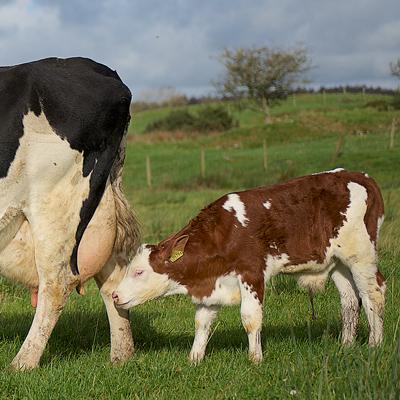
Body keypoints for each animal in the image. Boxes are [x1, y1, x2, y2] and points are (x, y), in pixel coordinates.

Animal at [0, 57, 141, 370]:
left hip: (54, 201)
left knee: (55, 284)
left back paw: (22, 363)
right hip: (99, 204)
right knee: (112, 278)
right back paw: (121, 356)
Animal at [112, 170, 384, 364]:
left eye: (139, 272)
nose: (115, 295)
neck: (225, 232)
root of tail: (362, 177)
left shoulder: (251, 273)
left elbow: (250, 318)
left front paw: (255, 359)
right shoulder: (211, 284)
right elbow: (202, 322)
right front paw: (194, 359)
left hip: (361, 256)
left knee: (374, 294)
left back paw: (375, 345)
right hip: (337, 263)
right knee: (350, 300)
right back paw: (346, 345)